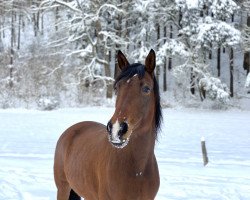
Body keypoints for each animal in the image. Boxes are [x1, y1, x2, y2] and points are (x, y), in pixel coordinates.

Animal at [53, 48, 162, 200]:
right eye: (116, 87)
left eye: (146, 89)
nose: (117, 129)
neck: (138, 170)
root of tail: (71, 130)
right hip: (63, 188)